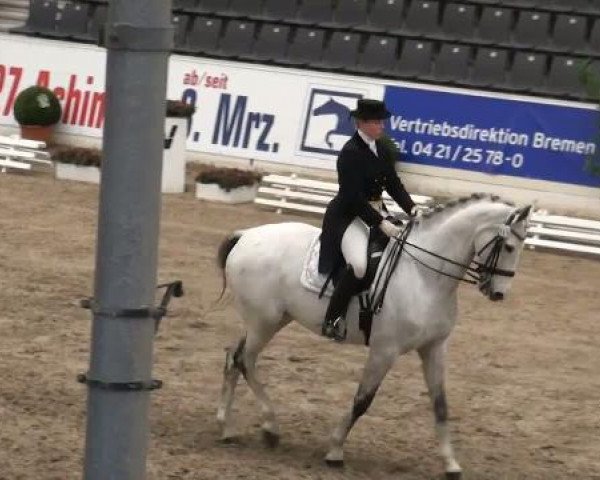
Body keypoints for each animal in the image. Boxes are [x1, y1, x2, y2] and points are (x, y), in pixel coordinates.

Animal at [214, 193, 528, 478]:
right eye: (509, 246)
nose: (499, 294)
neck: (424, 276)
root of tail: (246, 236)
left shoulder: (434, 347)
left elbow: (440, 405)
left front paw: (451, 464)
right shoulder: (384, 350)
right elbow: (362, 400)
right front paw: (335, 451)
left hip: (273, 320)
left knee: (233, 357)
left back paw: (226, 427)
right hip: (263, 322)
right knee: (244, 360)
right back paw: (269, 428)